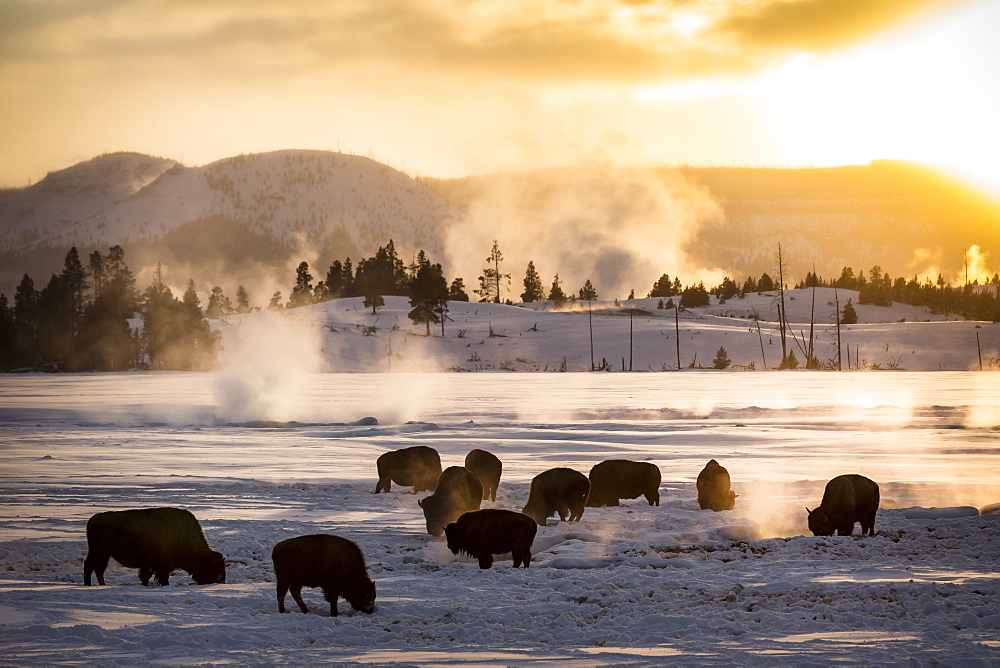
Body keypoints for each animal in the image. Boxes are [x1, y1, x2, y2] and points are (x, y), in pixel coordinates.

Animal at [84, 508, 227, 588]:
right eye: (214, 569)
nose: (220, 581)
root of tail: (93, 519)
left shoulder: (152, 566)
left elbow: (147, 576)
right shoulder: (160, 566)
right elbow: (159, 577)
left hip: (103, 554)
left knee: (97, 568)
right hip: (100, 552)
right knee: (91, 566)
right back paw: (90, 584)